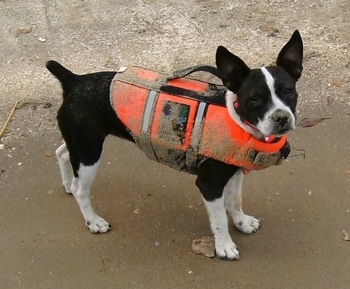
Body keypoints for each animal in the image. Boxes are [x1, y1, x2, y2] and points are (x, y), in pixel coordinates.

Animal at [47, 30, 304, 260]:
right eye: (255, 99)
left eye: (289, 91)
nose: (281, 117)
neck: (236, 117)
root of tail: (75, 80)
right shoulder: (209, 185)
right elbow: (220, 218)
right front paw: (224, 246)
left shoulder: (234, 172)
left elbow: (235, 201)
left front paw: (241, 222)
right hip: (89, 152)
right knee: (82, 190)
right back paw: (93, 221)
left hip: (81, 143)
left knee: (62, 153)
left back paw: (68, 183)